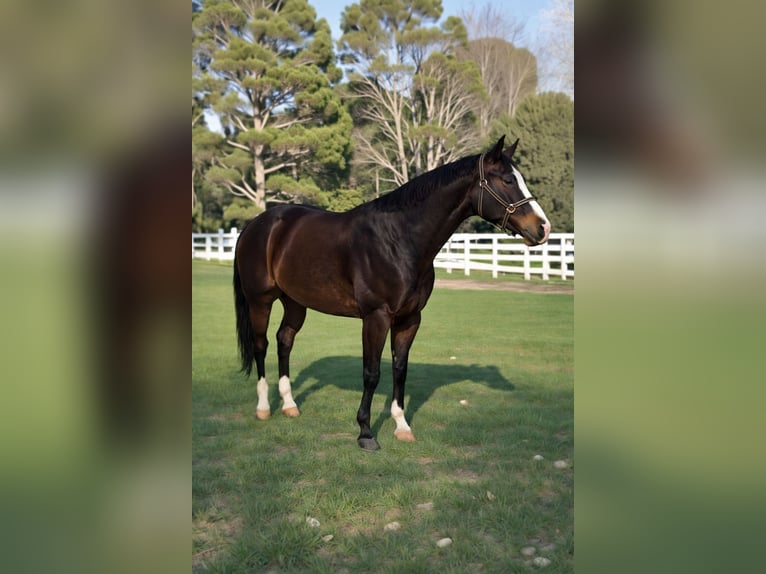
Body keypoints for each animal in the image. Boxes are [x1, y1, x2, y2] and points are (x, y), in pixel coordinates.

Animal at [233, 136, 550, 450]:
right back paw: (264, 408)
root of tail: (256, 225)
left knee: (284, 341)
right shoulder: (376, 317)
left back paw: (289, 405)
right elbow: (372, 373)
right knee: (261, 345)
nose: (543, 228)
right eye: (508, 180)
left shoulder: (410, 319)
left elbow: (400, 369)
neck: (399, 239)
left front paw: (402, 426)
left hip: (295, 302)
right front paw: (365, 432)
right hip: (260, 301)